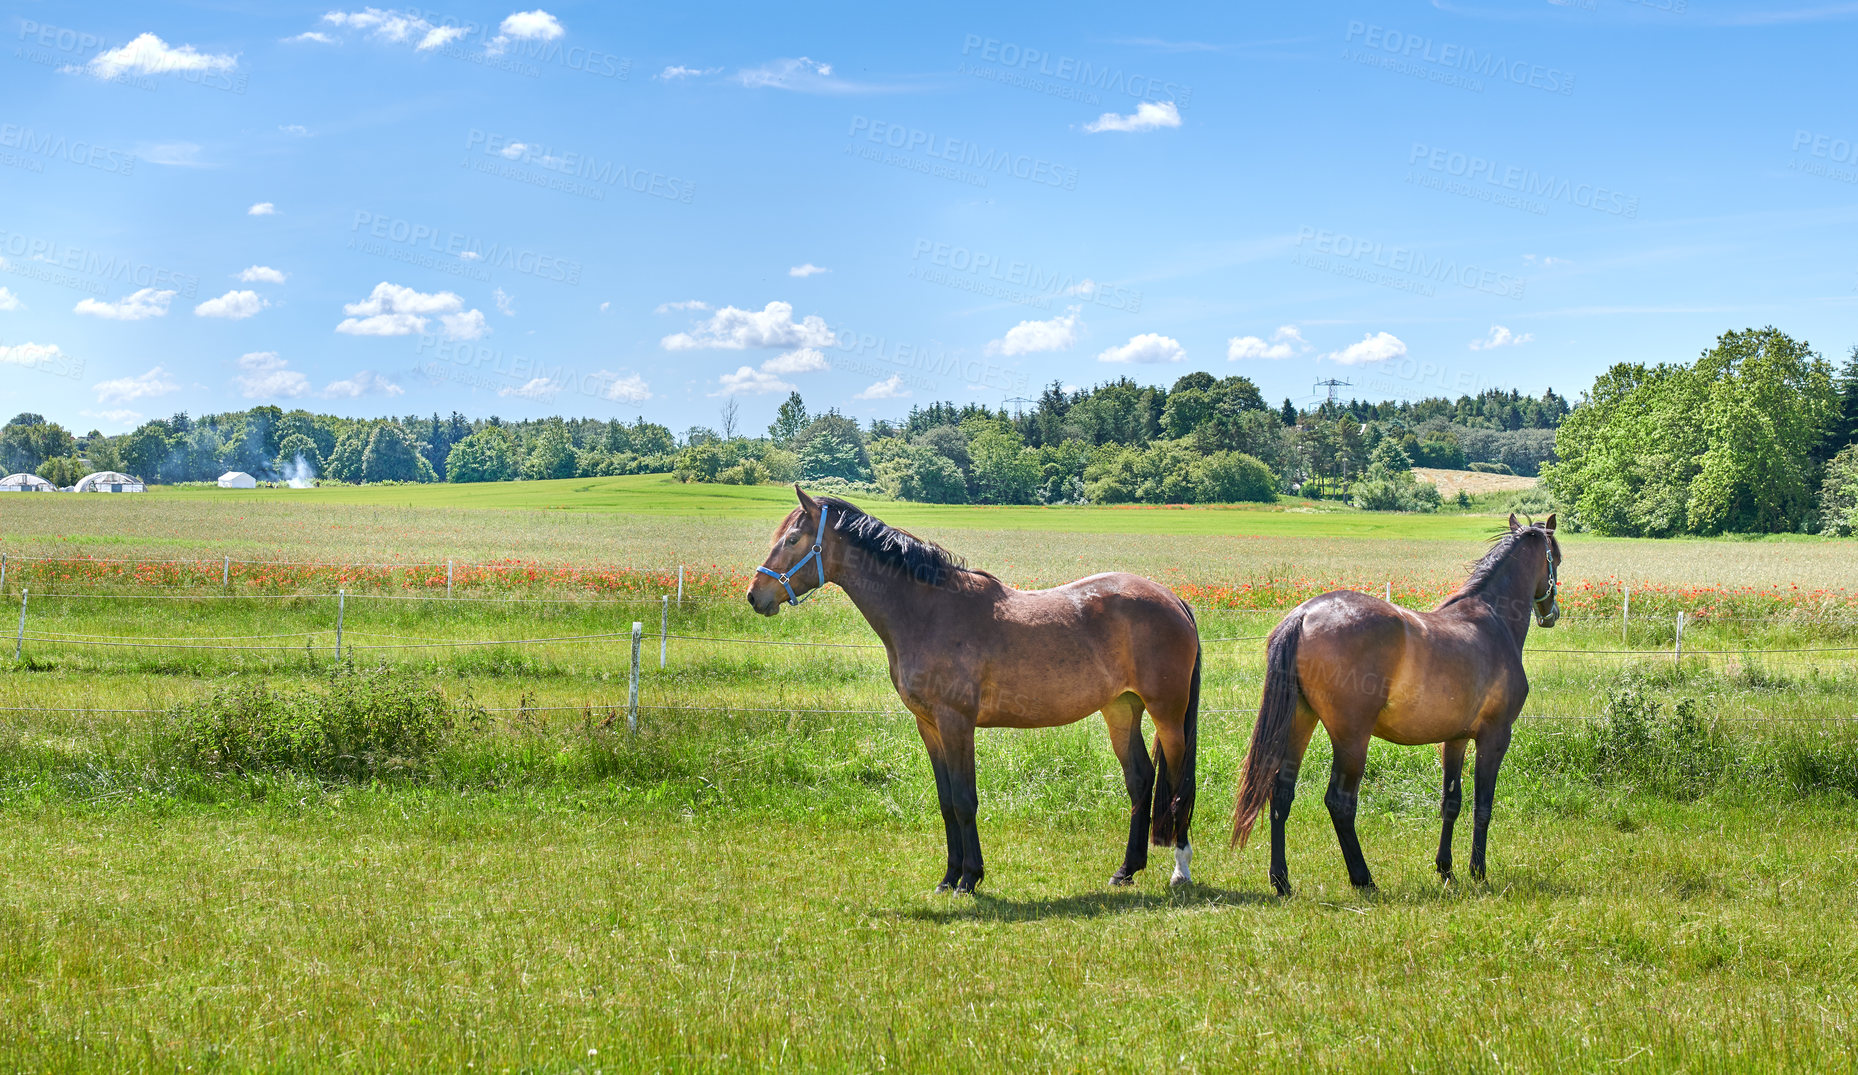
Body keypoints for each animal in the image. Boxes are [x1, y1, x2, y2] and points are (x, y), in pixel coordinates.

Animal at [754, 486, 1203, 891]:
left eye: (792, 540)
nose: (755, 595)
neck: (928, 612)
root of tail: (1173, 599)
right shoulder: (929, 727)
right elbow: (947, 801)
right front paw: (949, 877)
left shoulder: (957, 724)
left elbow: (965, 800)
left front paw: (970, 877)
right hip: (1121, 709)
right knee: (1141, 780)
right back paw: (1126, 870)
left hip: (1167, 714)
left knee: (1180, 784)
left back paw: (1180, 870)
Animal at [1241, 512, 1560, 891]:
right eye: (1555, 557)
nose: (1552, 613)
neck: (1492, 619)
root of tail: (1303, 615)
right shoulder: (1495, 736)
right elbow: (1483, 804)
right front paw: (1478, 871)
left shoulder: (1454, 739)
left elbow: (1451, 801)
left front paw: (1446, 868)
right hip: (1351, 737)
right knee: (1340, 802)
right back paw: (1363, 878)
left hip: (1299, 722)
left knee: (1281, 793)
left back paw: (1281, 880)